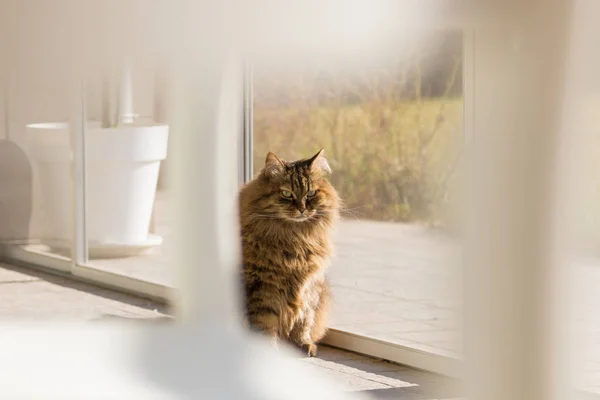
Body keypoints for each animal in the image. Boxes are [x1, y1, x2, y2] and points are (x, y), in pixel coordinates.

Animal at [240, 149, 342, 356]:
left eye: (311, 193)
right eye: (287, 193)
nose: (302, 208)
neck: (296, 239)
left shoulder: (309, 286)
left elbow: (304, 321)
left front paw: (303, 344)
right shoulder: (265, 287)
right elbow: (265, 323)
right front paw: (268, 351)